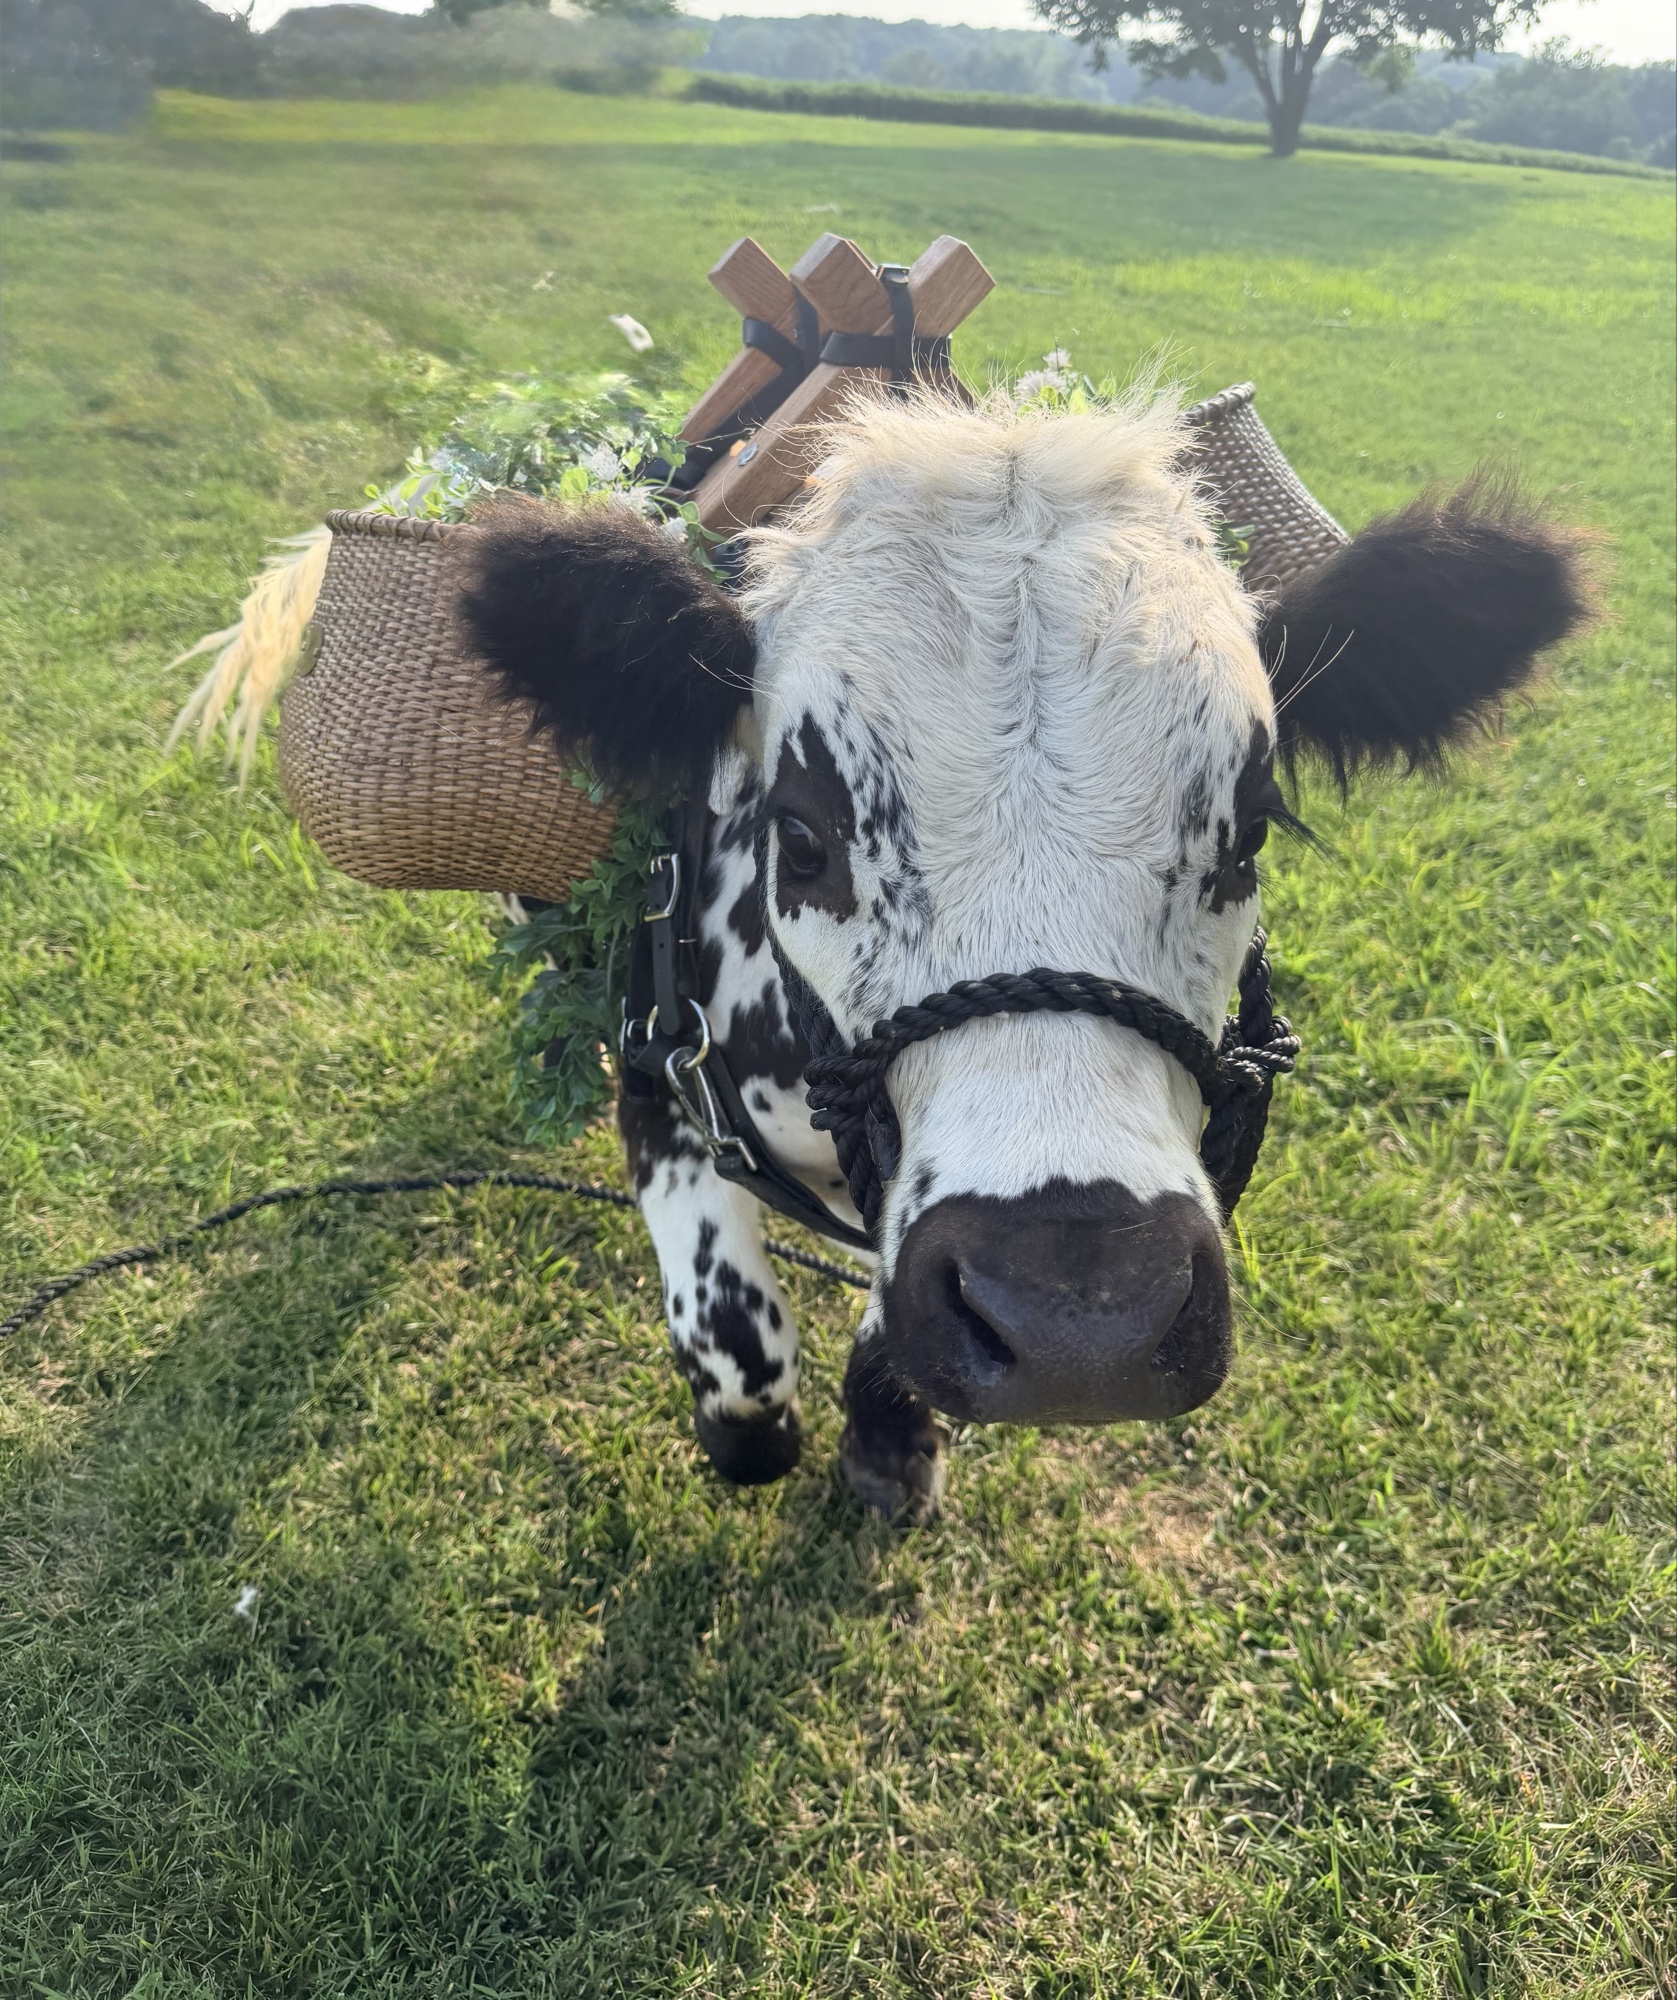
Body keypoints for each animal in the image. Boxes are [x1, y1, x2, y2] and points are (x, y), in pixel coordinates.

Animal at [456, 388, 1586, 1522]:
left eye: (1251, 830)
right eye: (804, 836)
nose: (1081, 1323)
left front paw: (889, 1439)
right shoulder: (658, 1068)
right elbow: (744, 1377)